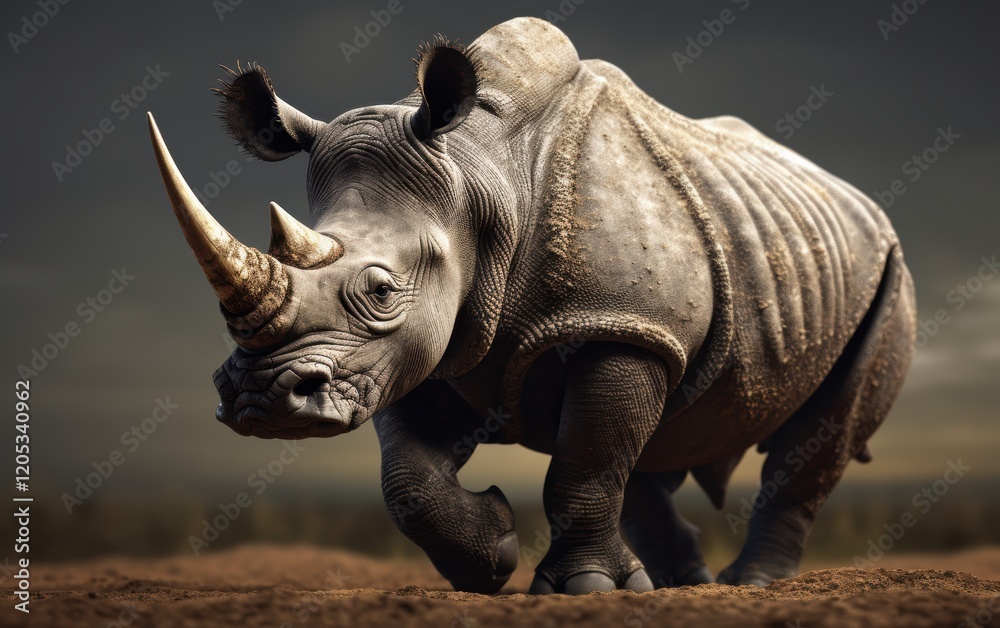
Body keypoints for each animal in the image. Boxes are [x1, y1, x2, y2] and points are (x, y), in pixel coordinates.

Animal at [148, 17, 916, 594]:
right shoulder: (418, 349)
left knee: (818, 428)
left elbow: (586, 460)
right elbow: (408, 478)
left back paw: (747, 584)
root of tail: (857, 200)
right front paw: (491, 559)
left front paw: (584, 591)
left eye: (381, 291)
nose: (262, 400)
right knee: (652, 437)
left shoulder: (620, 323)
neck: (483, 176)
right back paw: (678, 583)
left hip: (886, 270)